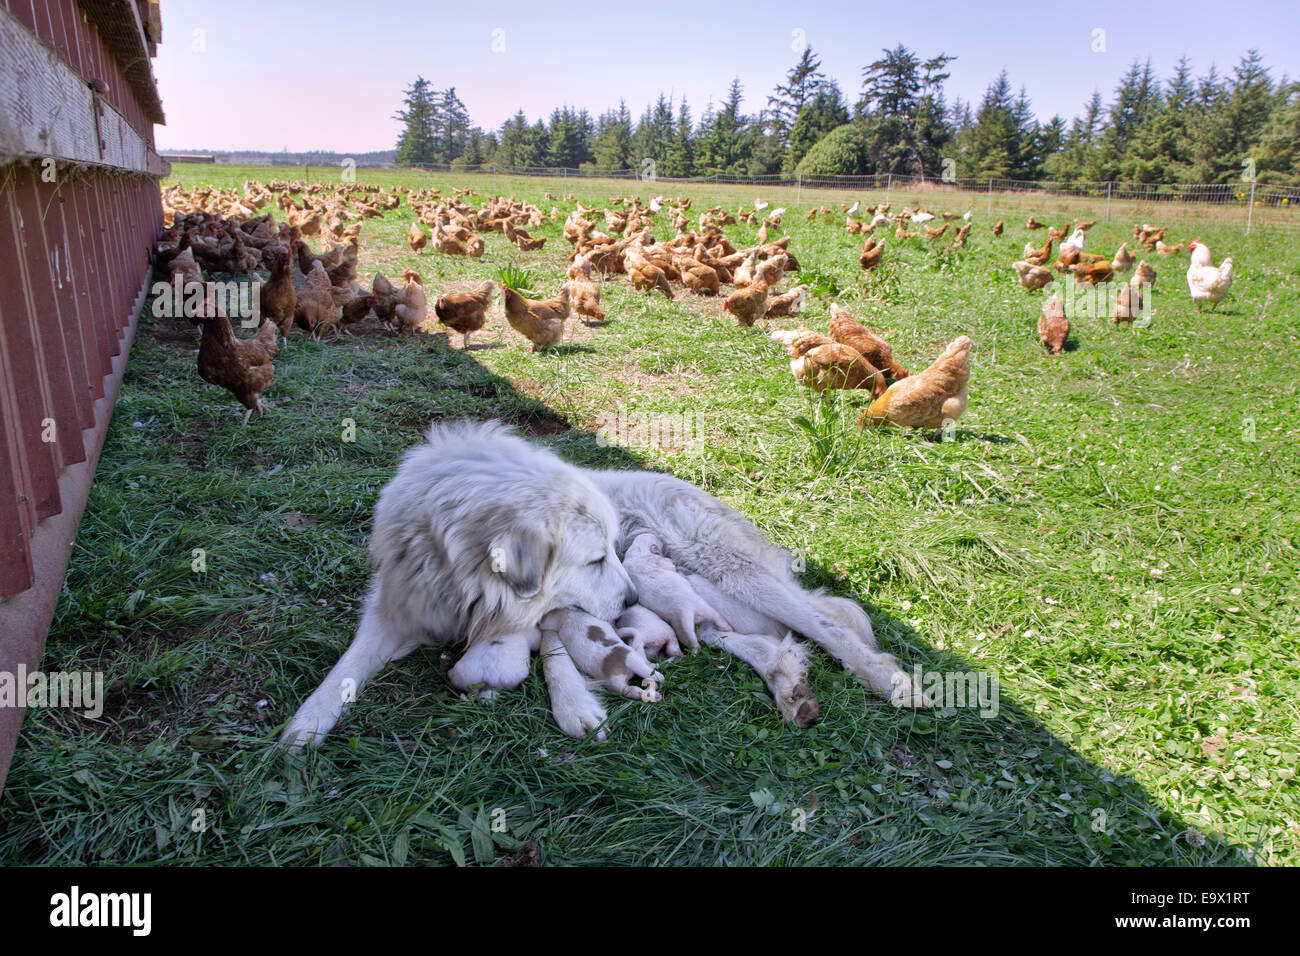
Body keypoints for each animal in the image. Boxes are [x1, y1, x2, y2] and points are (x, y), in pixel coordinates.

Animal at [284, 421, 925, 749]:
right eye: (595, 558)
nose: (632, 600)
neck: (461, 571)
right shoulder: (396, 608)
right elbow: (345, 669)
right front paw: (303, 726)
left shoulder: (543, 616)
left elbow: (555, 655)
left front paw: (574, 707)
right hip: (703, 604)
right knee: (764, 641)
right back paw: (790, 688)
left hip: (726, 569)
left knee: (827, 625)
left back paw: (895, 683)